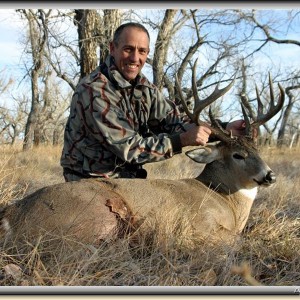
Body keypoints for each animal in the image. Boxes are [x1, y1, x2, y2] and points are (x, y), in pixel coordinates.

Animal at [0, 68, 286, 248]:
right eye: (238, 155)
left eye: (258, 151)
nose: (270, 175)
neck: (223, 198)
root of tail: (10, 214)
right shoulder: (199, 226)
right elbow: (241, 241)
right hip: (96, 217)